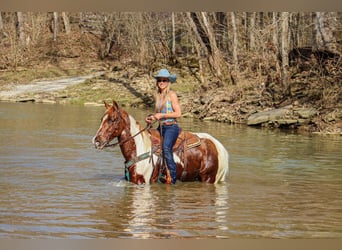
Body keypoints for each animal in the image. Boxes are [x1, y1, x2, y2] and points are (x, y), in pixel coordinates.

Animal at [92, 100, 228, 185]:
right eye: (101, 119)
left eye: (112, 119)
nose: (96, 141)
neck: (140, 148)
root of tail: (219, 146)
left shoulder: (143, 182)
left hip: (208, 178)